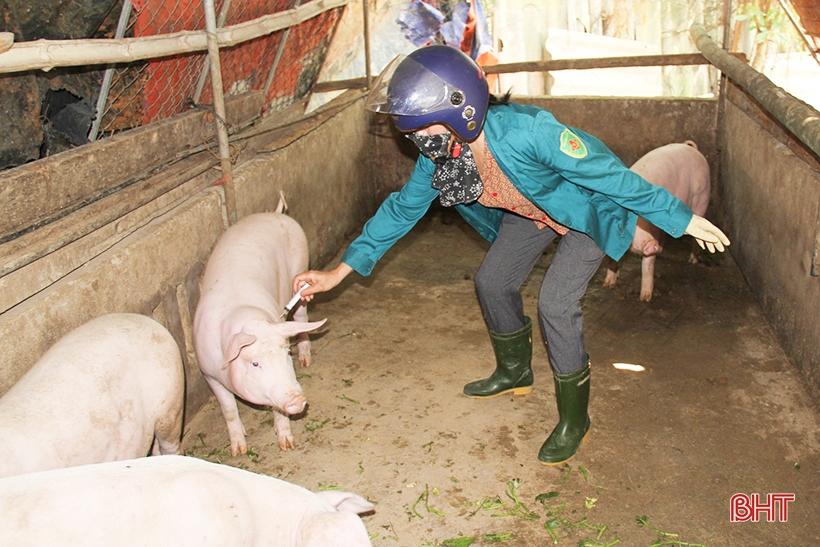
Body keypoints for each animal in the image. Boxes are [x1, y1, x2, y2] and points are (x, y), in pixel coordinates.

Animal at [194, 212, 326, 456]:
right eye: (255, 363)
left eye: (287, 355)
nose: (297, 399)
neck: (250, 322)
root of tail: (276, 213)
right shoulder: (208, 373)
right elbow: (228, 409)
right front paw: (238, 451)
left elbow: (278, 412)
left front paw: (287, 445)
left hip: (300, 268)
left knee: (301, 317)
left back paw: (306, 362)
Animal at [604, 139, 712, 302]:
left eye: (645, 218)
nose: (651, 243)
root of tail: (692, 148)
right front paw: (608, 284)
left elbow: (647, 267)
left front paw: (645, 298)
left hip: (702, 196)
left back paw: (692, 260)